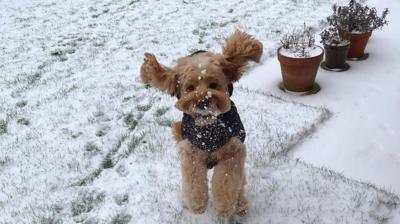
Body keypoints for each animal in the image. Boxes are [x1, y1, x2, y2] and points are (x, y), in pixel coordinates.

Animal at [140, 29, 262, 217]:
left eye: (214, 84)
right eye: (190, 88)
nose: (202, 101)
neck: (209, 131)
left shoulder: (233, 151)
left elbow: (226, 180)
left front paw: (224, 205)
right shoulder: (191, 153)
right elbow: (194, 181)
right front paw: (197, 204)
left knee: (240, 184)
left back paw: (240, 205)